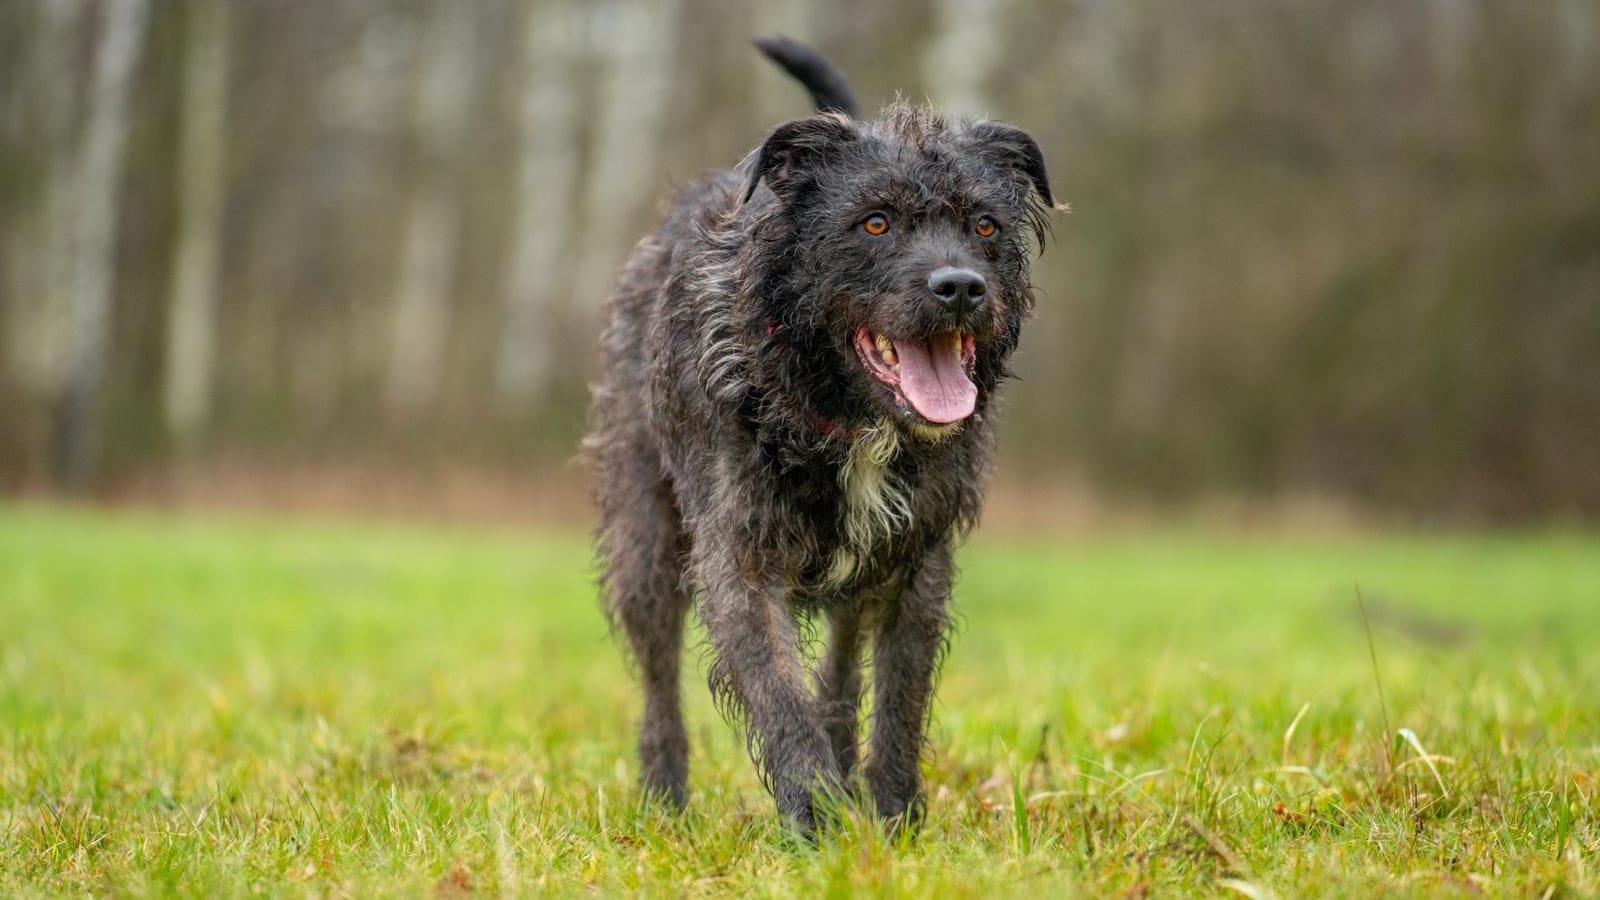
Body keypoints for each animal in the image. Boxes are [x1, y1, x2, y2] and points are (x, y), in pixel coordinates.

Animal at [588, 36, 1062, 832]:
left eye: (984, 226)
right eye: (875, 222)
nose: (961, 287)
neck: (846, 414)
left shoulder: (916, 568)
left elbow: (897, 702)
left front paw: (896, 823)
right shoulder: (740, 563)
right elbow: (779, 697)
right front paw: (816, 823)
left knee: (840, 675)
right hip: (644, 541)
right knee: (659, 680)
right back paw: (665, 801)